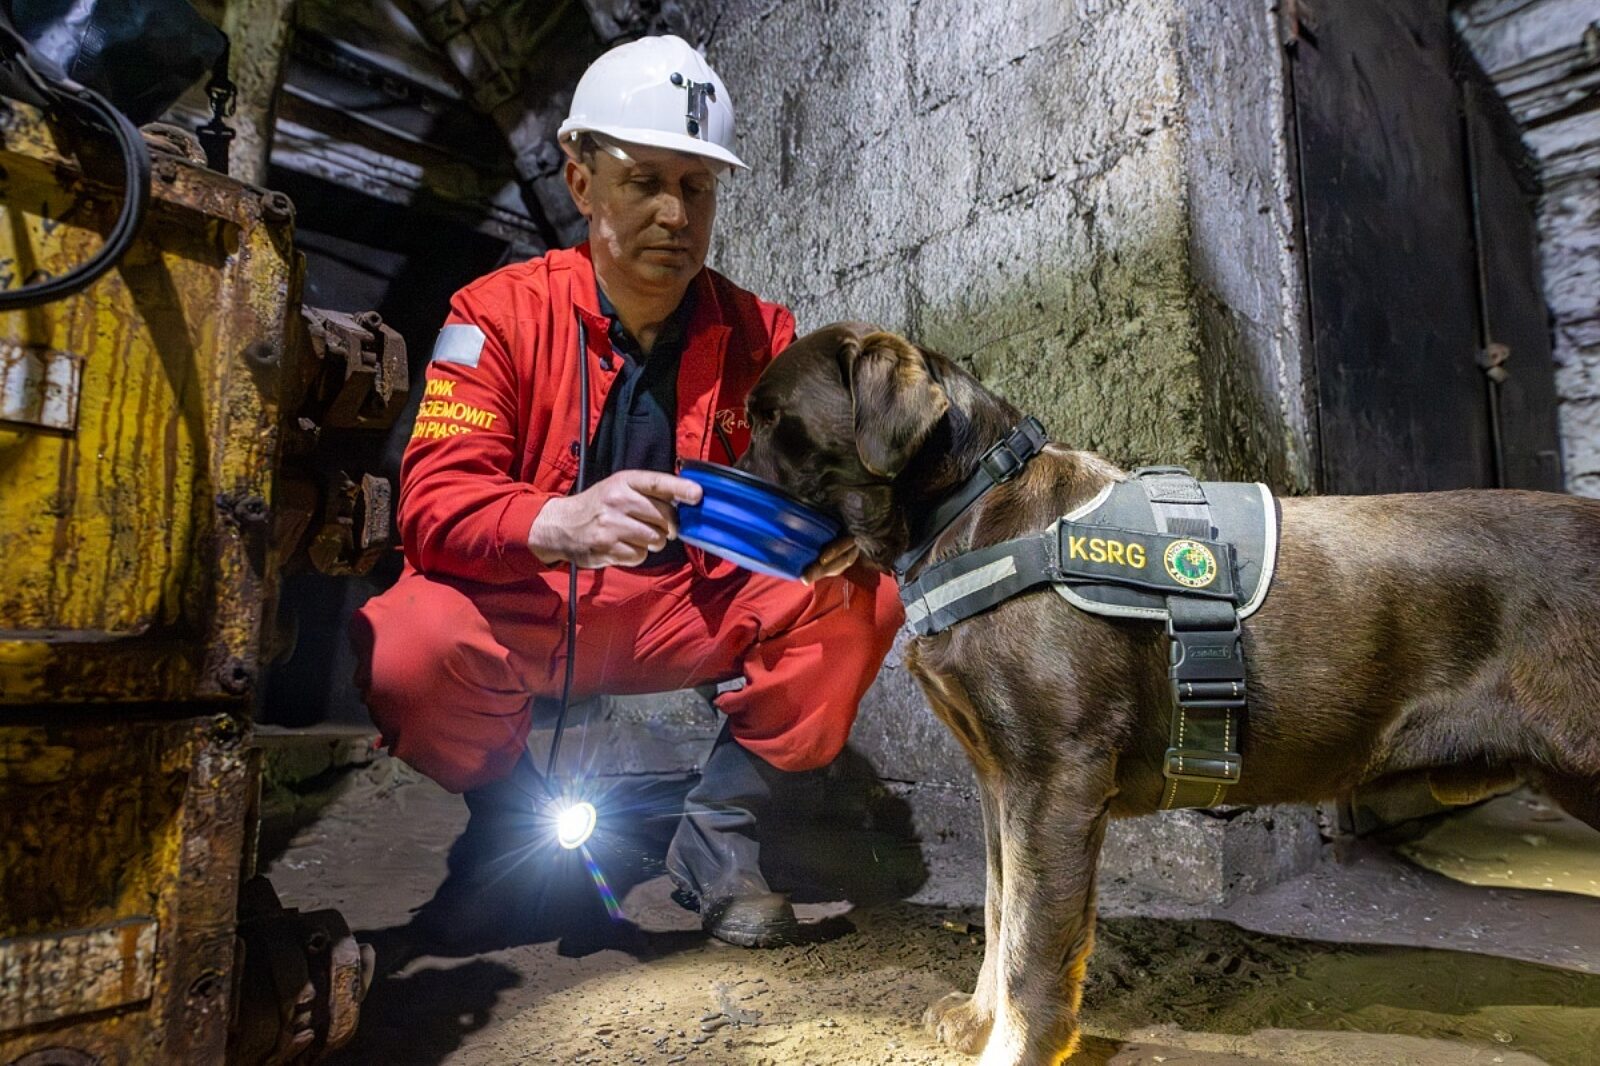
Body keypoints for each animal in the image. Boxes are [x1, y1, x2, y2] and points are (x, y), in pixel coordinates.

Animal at [736, 321, 1600, 1066]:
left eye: (769, 419)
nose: (714, 485)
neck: (970, 510)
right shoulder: (998, 778)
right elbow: (997, 907)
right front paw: (978, 1019)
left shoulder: (1055, 777)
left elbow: (1032, 939)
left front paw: (1015, 1046)